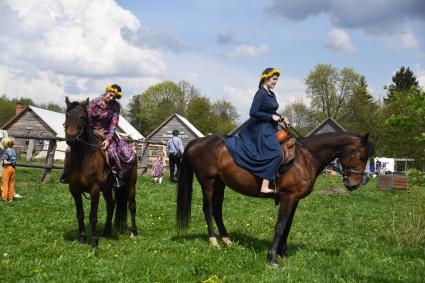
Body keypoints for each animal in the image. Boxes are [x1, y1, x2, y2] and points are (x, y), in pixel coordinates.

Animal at [64, 97, 137, 248]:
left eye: (82, 117)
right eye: (67, 115)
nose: (71, 138)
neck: (83, 158)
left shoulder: (95, 190)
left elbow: (93, 215)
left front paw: (94, 242)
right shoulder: (74, 189)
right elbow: (80, 214)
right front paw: (82, 238)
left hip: (131, 185)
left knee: (132, 206)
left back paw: (133, 232)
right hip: (108, 189)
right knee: (111, 205)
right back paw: (107, 232)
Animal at [176, 132, 372, 268]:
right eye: (362, 157)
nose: (354, 184)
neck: (306, 158)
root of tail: (198, 141)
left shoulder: (294, 199)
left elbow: (287, 226)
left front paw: (283, 252)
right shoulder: (288, 197)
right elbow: (280, 226)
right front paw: (272, 257)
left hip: (219, 184)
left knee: (217, 210)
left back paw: (227, 240)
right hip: (208, 183)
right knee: (208, 209)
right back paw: (214, 241)